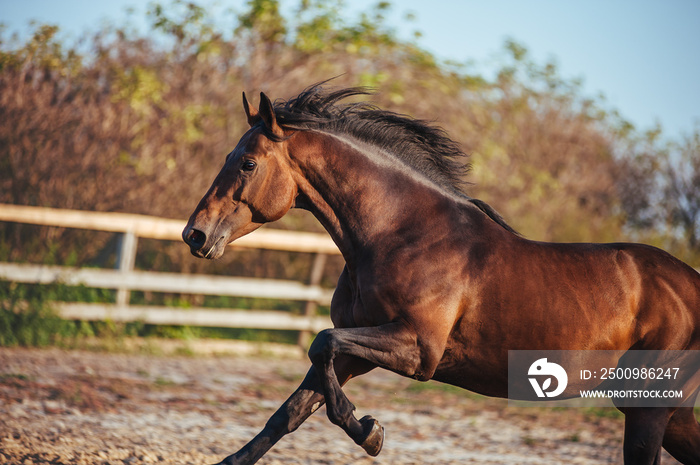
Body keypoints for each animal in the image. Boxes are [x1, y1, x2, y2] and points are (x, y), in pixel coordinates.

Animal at [182, 84, 700, 464]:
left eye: (248, 163)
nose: (195, 234)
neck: (402, 232)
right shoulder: (361, 347)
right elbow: (291, 410)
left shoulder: (417, 349)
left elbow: (321, 343)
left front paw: (369, 432)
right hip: (666, 413)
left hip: (649, 409)